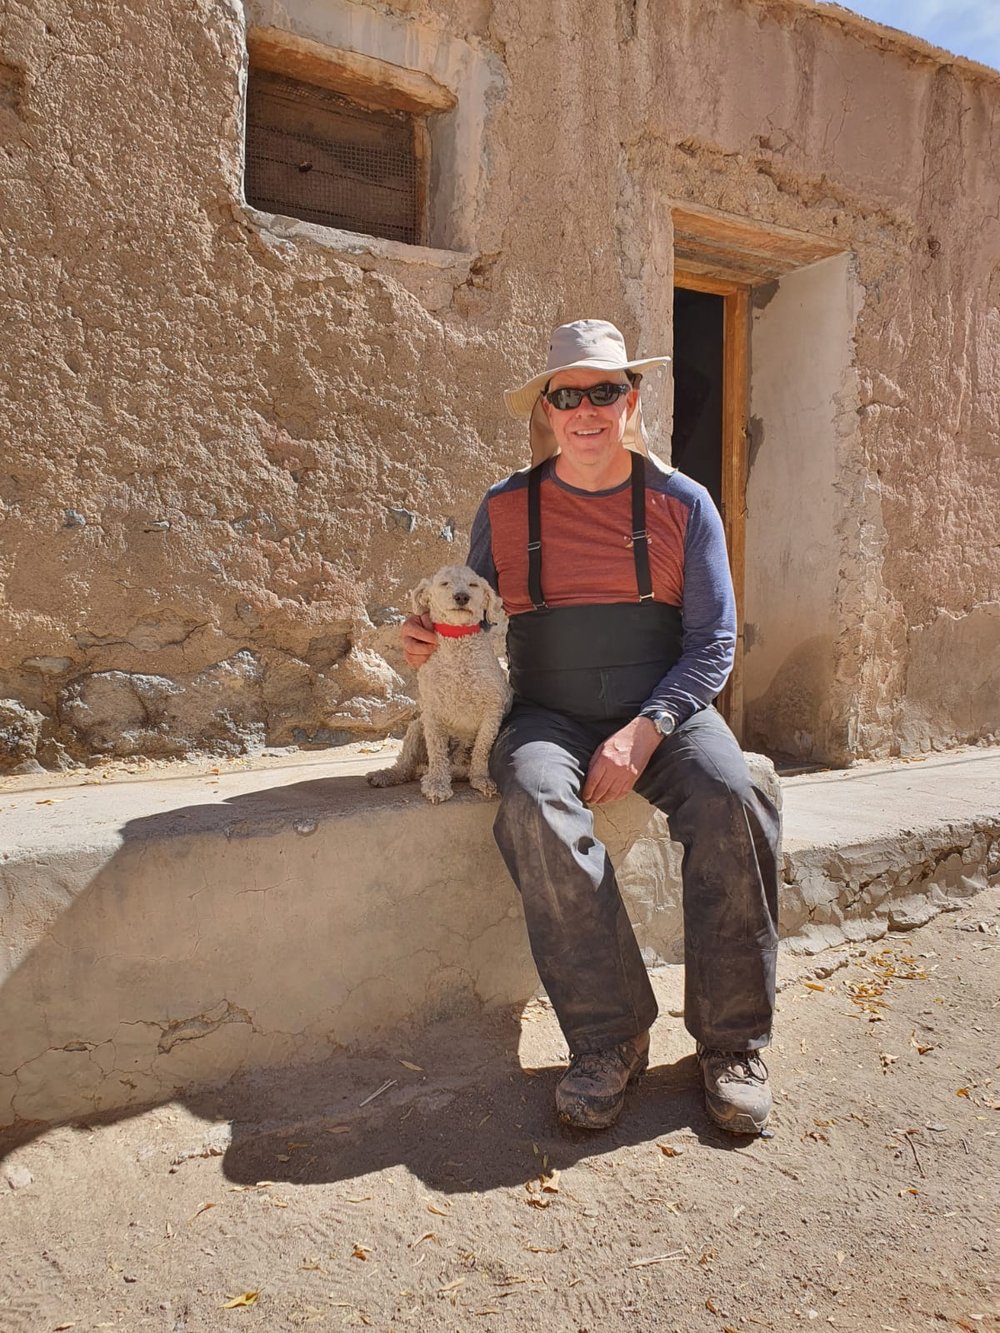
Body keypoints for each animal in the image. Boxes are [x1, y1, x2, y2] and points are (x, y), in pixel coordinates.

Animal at [368, 562, 512, 799]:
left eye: (473, 585)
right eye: (445, 583)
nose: (462, 596)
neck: (458, 642)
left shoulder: (492, 710)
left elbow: (482, 749)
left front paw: (480, 778)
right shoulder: (433, 712)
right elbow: (436, 751)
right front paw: (437, 783)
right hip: (417, 728)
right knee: (406, 765)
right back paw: (386, 775)